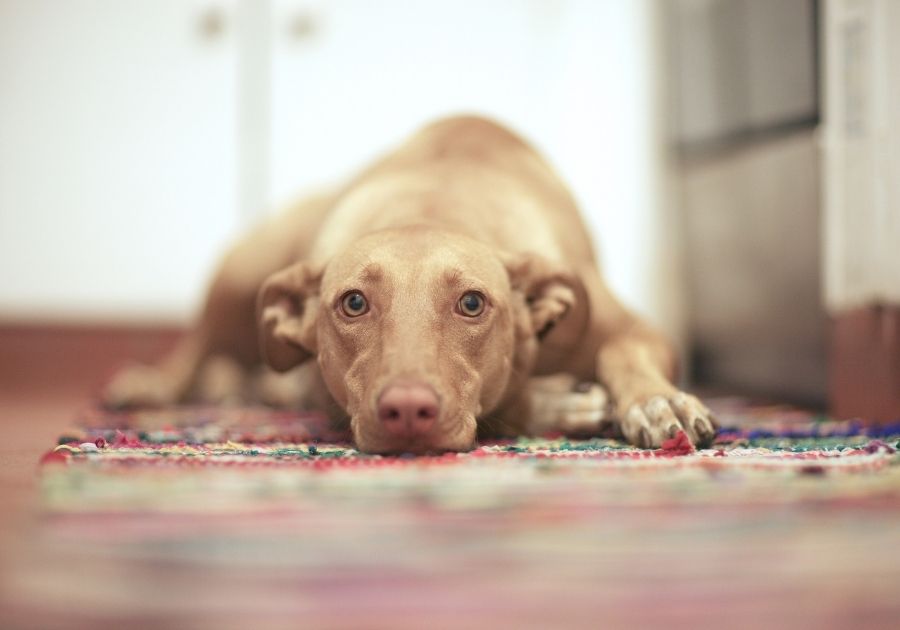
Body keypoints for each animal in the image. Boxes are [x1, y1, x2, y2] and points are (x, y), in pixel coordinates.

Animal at [105, 115, 720, 454]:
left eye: (472, 302)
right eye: (354, 302)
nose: (406, 411)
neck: (435, 203)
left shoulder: (634, 328)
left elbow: (625, 352)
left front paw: (655, 399)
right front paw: (553, 404)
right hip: (239, 278)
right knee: (198, 345)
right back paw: (153, 383)